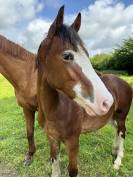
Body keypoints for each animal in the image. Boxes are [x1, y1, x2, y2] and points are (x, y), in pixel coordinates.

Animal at [36, 5, 133, 177]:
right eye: (67, 55)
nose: (107, 102)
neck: (55, 109)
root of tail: (125, 83)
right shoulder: (52, 138)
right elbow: (55, 165)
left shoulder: (73, 141)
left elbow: (72, 170)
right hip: (111, 117)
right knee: (117, 130)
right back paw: (114, 151)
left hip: (121, 116)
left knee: (122, 132)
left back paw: (117, 162)